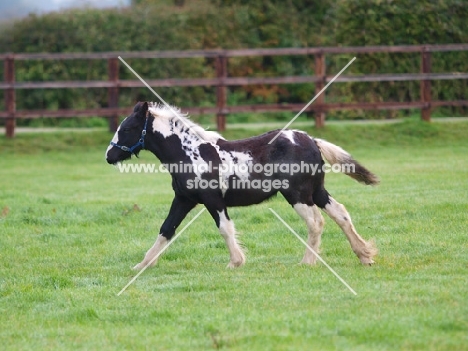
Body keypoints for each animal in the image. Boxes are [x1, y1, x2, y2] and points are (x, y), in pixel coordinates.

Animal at [107, 102, 380, 270]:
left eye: (128, 128)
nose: (109, 156)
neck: (190, 153)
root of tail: (312, 140)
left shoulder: (213, 200)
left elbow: (225, 228)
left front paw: (235, 262)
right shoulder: (184, 200)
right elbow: (166, 229)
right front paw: (142, 265)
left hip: (298, 194)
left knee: (316, 222)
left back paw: (307, 262)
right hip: (317, 191)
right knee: (341, 214)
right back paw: (365, 255)